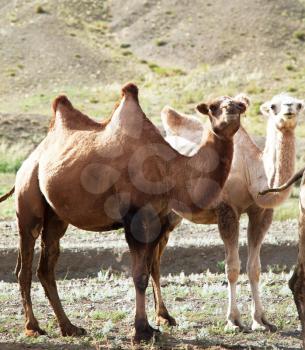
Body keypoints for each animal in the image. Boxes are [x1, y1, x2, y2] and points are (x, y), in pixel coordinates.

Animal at [0, 82, 247, 342]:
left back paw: (70, 327)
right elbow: (139, 275)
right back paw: (33, 327)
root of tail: (28, 162)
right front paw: (141, 331)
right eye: (213, 107)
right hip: (28, 201)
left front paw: (151, 327)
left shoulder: (158, 219)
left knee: (46, 267)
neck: (170, 170)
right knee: (24, 266)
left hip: (56, 217)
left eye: (240, 106)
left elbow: (148, 271)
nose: (231, 111)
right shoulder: (136, 218)